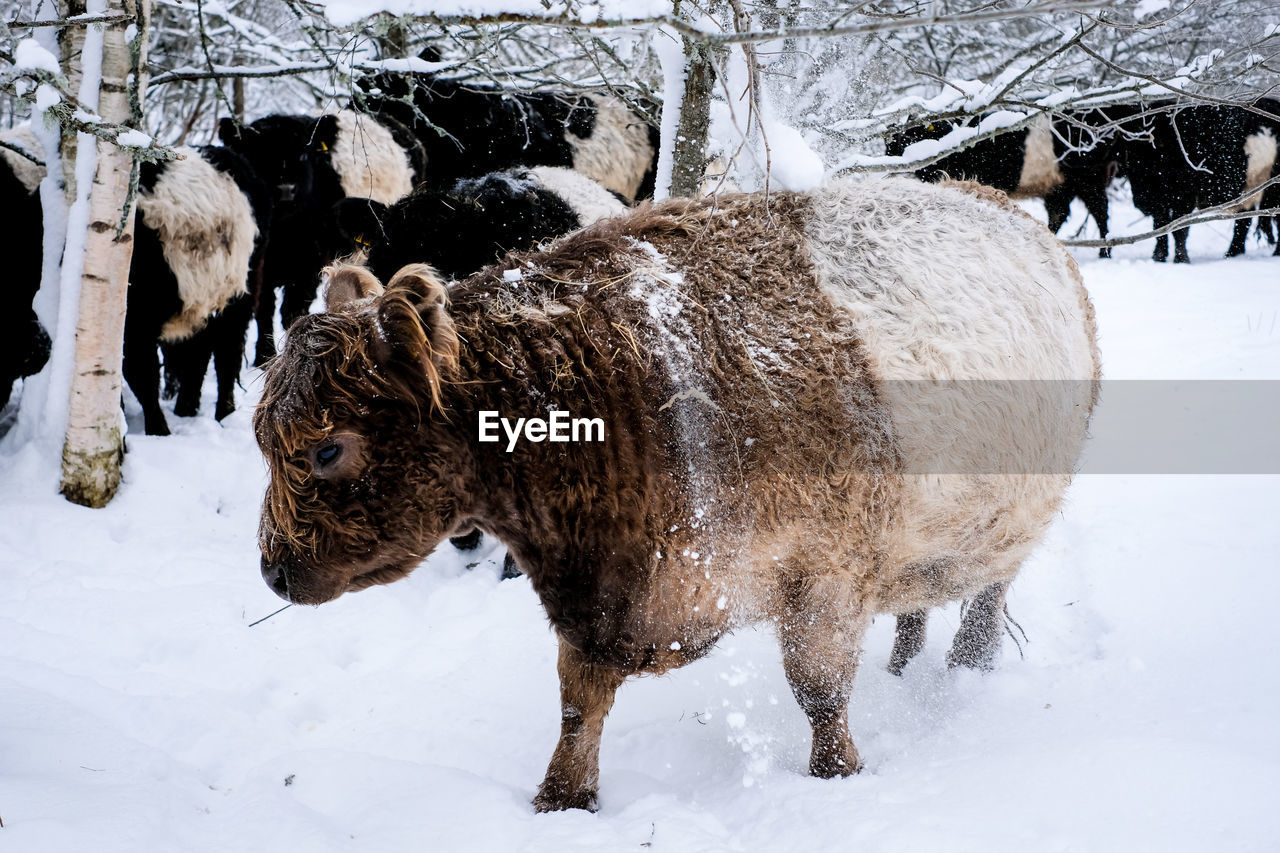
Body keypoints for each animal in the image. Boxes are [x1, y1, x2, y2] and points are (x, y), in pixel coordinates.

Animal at [252, 175, 1100, 809]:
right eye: (265, 441)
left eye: (327, 448)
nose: (273, 568)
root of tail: (997, 202)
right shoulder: (601, 598)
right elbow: (579, 704)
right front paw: (562, 799)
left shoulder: (826, 572)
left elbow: (821, 694)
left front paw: (837, 779)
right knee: (917, 600)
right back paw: (903, 663)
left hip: (1011, 517)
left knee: (987, 595)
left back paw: (966, 667)